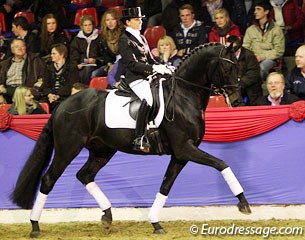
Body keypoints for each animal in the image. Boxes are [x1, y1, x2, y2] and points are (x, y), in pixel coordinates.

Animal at [11, 42, 249, 236]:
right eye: (227, 68)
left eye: (239, 67)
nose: (237, 100)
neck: (184, 95)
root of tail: (61, 106)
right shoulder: (185, 148)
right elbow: (222, 164)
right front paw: (243, 203)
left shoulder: (180, 155)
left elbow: (165, 187)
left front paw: (155, 223)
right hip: (68, 149)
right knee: (48, 180)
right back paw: (35, 226)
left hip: (102, 150)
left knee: (84, 175)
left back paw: (107, 217)